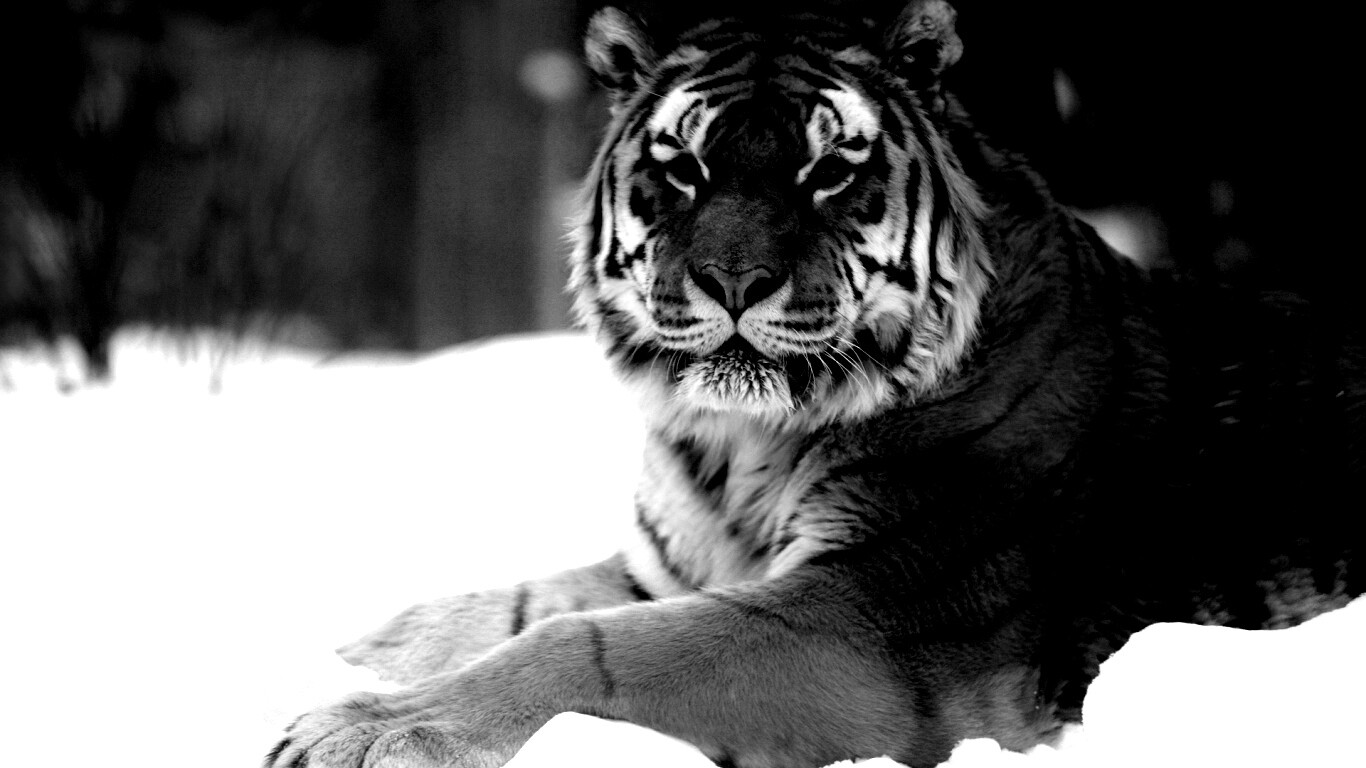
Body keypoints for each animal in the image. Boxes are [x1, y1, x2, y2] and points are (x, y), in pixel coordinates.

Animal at [267, 2, 1364, 766]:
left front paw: (367, 727)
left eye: (829, 171)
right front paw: (363, 651)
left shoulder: (866, 620)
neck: (737, 448)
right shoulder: (676, 566)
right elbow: (496, 606)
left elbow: (597, 645)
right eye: (684, 167)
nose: (734, 279)